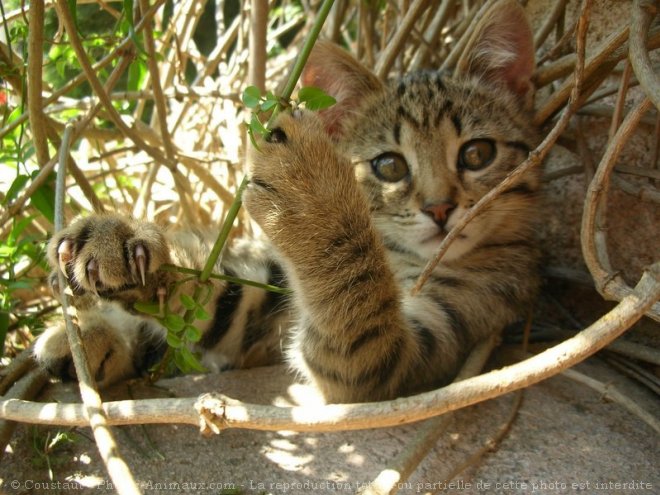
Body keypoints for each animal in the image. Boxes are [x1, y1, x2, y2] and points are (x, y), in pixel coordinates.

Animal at [33, 0, 540, 404]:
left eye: (477, 154)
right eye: (389, 166)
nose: (439, 209)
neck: (395, 256)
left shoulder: (403, 352)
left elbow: (354, 300)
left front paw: (312, 196)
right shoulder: (261, 294)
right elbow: (211, 291)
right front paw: (123, 244)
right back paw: (84, 336)